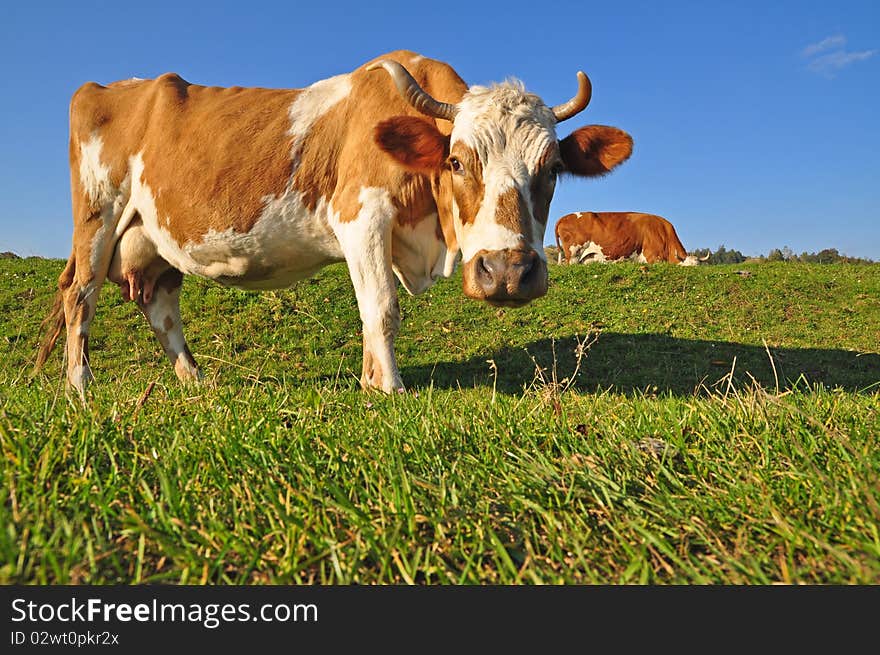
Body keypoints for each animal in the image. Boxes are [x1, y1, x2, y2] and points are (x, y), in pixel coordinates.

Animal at [36, 50, 632, 394]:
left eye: (552, 168)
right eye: (458, 161)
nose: (507, 272)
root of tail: (109, 86)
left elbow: (372, 311)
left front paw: (369, 382)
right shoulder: (360, 215)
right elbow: (382, 307)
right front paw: (388, 387)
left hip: (151, 238)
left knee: (160, 306)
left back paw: (195, 380)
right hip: (97, 217)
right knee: (80, 294)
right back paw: (80, 387)